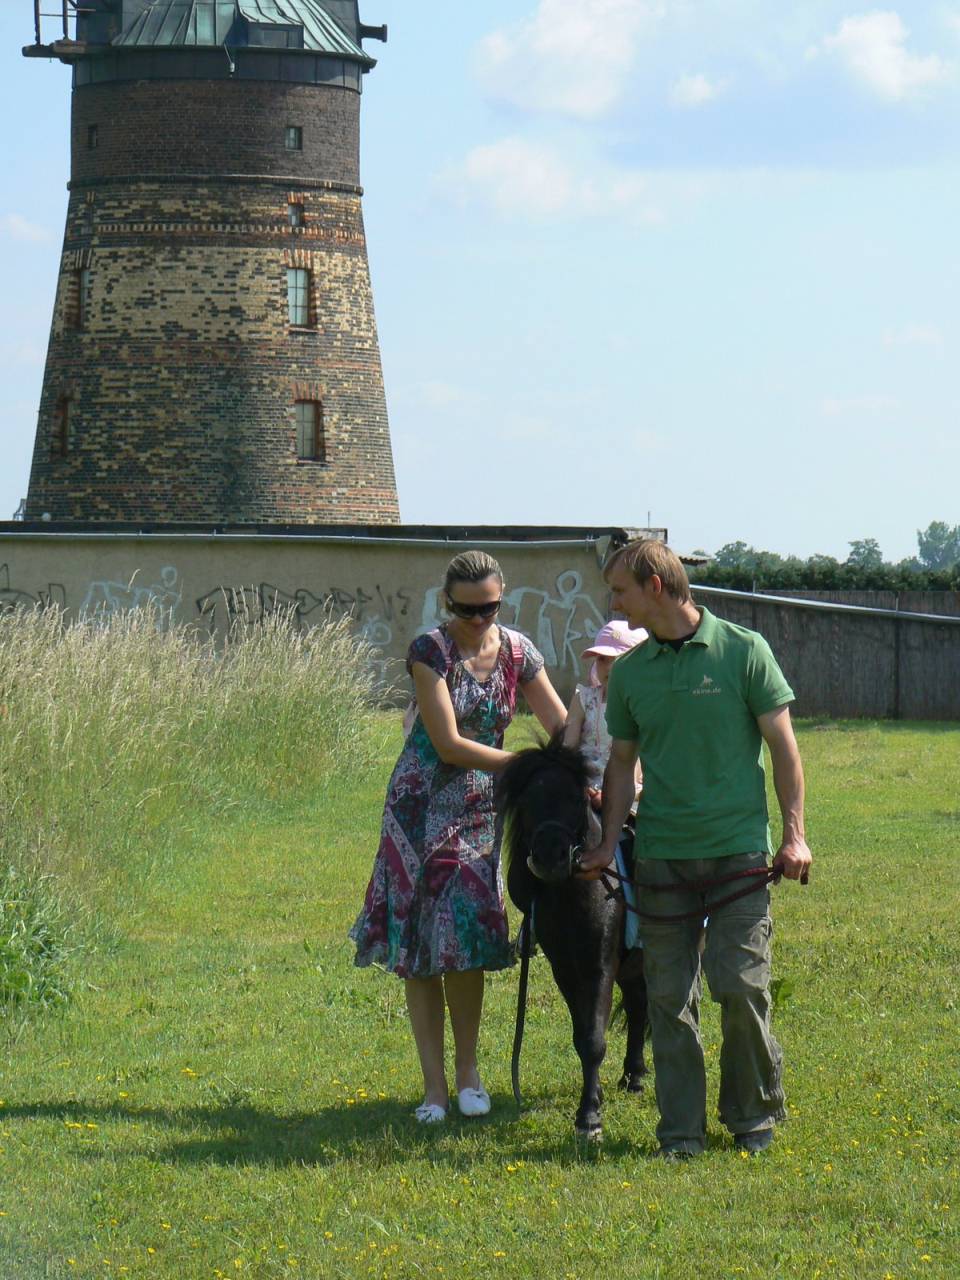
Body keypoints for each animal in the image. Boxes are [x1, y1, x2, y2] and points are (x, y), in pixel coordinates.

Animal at [496, 732, 647, 1141]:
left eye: (576, 800)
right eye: (527, 802)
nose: (552, 856)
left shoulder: (598, 966)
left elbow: (594, 1038)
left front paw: (589, 1118)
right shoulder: (565, 969)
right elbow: (583, 1033)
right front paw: (594, 1100)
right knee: (639, 1008)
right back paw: (633, 1075)